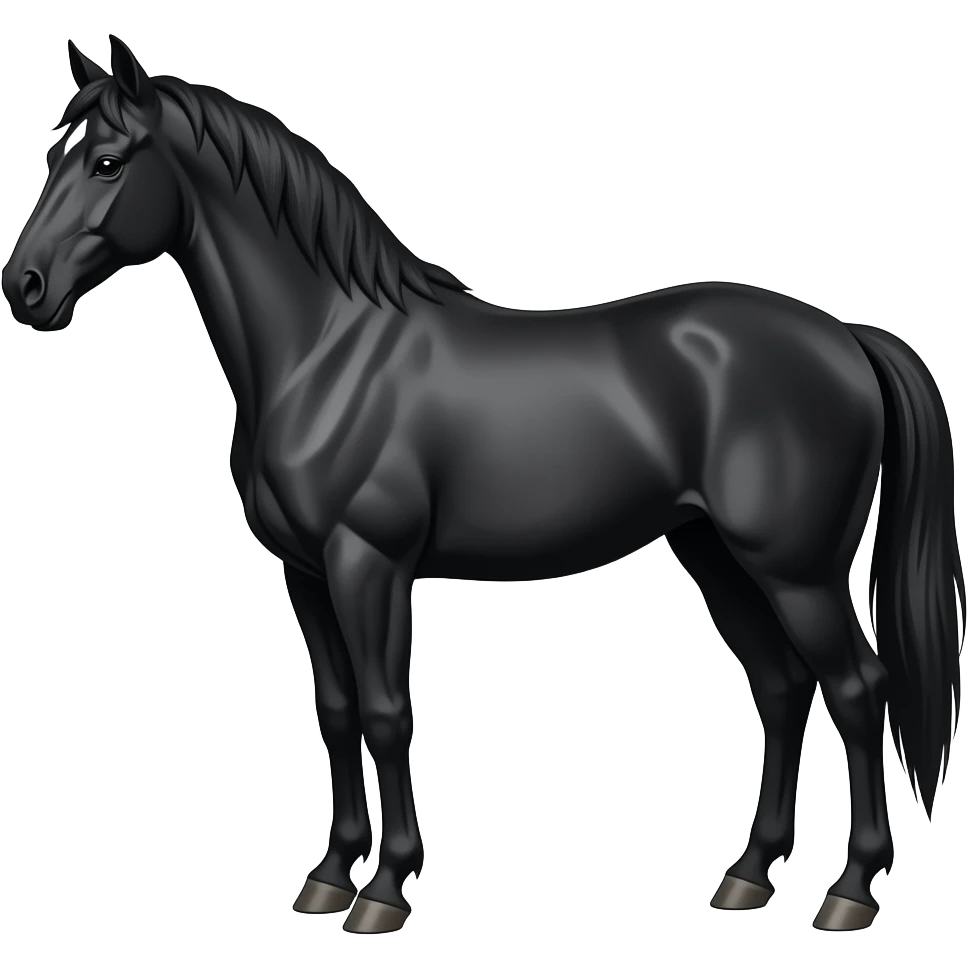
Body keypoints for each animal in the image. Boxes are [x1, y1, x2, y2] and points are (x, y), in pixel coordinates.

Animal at [3, 35, 964, 935]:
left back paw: (849, 892)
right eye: (53, 155)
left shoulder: (369, 564)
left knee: (858, 691)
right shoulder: (305, 572)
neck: (327, 350)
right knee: (782, 688)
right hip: (715, 554)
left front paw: (385, 889)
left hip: (798, 571)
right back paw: (747, 876)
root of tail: (845, 338)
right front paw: (327, 877)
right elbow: (338, 711)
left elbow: (388, 712)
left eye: (107, 161)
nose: (25, 288)